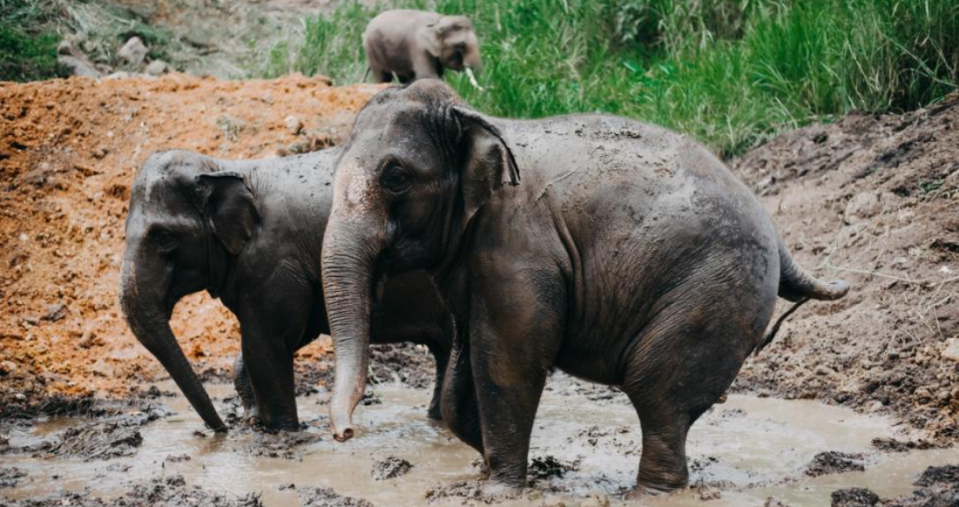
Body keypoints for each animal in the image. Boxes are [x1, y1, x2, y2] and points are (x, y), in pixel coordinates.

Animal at [117, 149, 454, 434]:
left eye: (163, 237)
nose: (221, 430)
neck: (224, 166)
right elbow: (285, 337)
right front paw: (253, 422)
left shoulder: (273, 262)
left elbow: (267, 343)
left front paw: (281, 432)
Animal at [318, 81, 852, 498]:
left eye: (396, 176)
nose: (345, 434)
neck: (478, 118)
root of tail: (778, 235)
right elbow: (466, 361)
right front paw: (488, 468)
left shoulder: (518, 246)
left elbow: (511, 358)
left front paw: (499, 490)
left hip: (715, 291)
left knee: (657, 392)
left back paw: (648, 493)